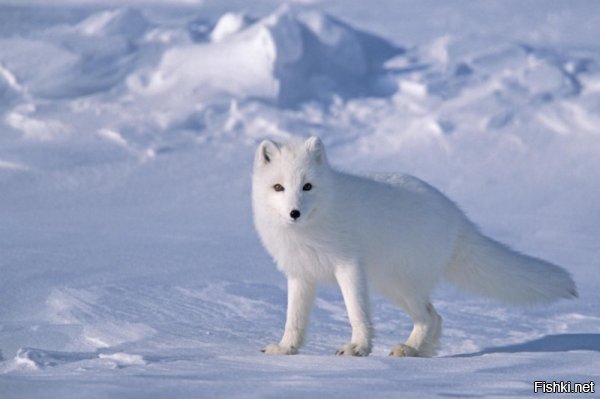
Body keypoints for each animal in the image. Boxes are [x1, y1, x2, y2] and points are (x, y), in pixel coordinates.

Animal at [252, 136, 576, 358]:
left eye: (307, 186)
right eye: (279, 187)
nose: (294, 213)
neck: (311, 227)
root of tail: (457, 216)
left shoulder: (349, 266)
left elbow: (357, 312)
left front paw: (358, 348)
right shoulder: (300, 274)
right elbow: (294, 319)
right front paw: (286, 348)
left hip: (400, 283)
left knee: (431, 316)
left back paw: (410, 349)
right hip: (392, 285)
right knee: (435, 317)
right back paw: (419, 351)